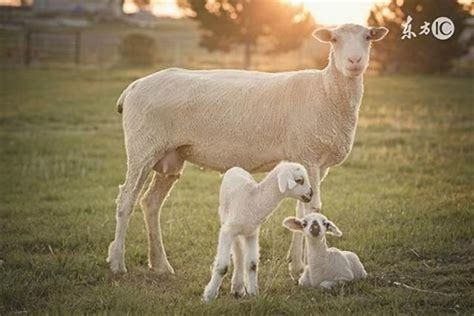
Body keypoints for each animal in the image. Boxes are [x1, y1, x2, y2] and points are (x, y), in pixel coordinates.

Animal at [107, 23, 388, 276]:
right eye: (334, 39)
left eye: (368, 37)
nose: (355, 61)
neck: (327, 91)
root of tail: (132, 87)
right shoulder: (308, 155)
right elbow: (312, 209)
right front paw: (305, 266)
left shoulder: (314, 162)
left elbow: (302, 208)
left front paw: (296, 264)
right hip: (143, 148)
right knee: (126, 200)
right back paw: (117, 263)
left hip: (170, 156)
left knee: (150, 203)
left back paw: (160, 265)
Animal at [202, 162, 312, 302]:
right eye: (299, 180)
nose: (311, 194)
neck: (254, 200)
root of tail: (236, 167)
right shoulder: (228, 231)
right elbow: (222, 266)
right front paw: (209, 296)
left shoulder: (252, 233)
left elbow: (252, 264)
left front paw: (253, 293)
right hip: (225, 218)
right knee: (237, 253)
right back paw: (236, 287)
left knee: (240, 255)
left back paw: (238, 288)